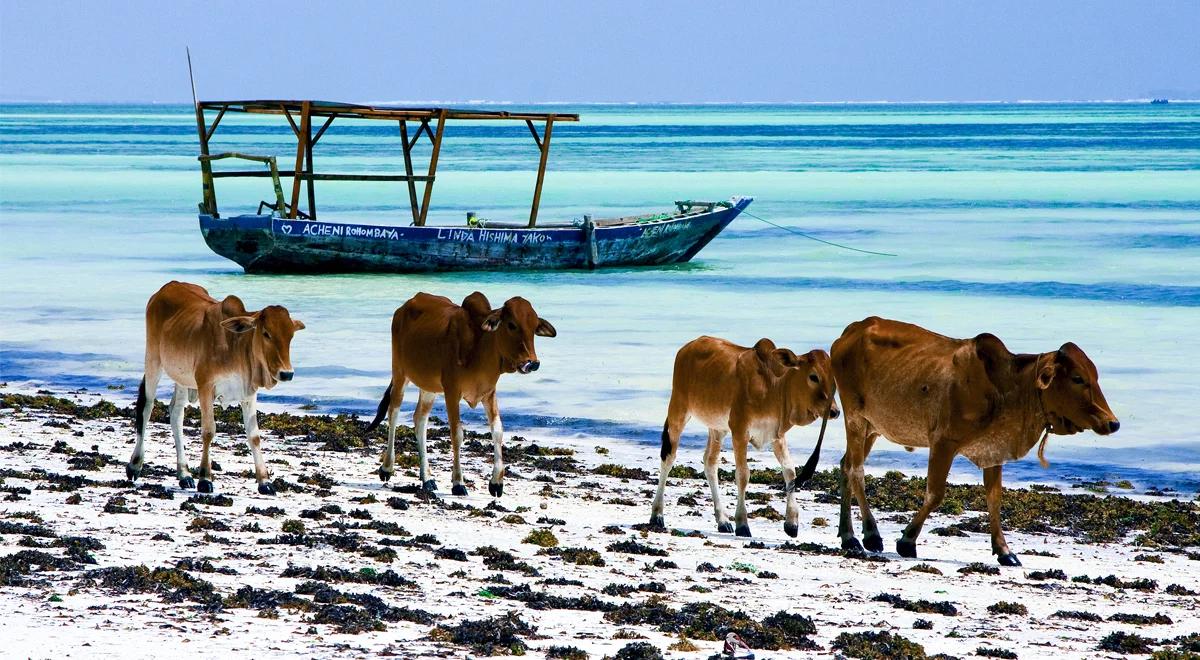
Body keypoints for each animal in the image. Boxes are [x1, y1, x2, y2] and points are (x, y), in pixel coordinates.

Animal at [125, 280, 304, 496]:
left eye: (291, 336)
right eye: (266, 334)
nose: (287, 373)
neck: (236, 345)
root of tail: (167, 287)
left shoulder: (248, 393)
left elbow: (254, 436)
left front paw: (264, 482)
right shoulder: (205, 386)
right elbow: (208, 431)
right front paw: (205, 479)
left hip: (182, 378)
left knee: (176, 413)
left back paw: (184, 474)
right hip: (153, 360)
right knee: (147, 406)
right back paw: (135, 465)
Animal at [364, 292, 556, 499]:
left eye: (534, 327)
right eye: (512, 324)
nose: (532, 363)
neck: (480, 345)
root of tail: (405, 306)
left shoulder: (489, 393)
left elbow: (497, 431)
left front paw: (496, 482)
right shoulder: (452, 391)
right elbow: (457, 434)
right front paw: (458, 483)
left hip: (429, 386)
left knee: (420, 420)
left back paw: (427, 478)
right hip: (400, 372)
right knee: (394, 411)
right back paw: (387, 468)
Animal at [652, 338, 840, 540]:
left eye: (833, 380)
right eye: (813, 376)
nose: (835, 411)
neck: (773, 387)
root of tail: (688, 346)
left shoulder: (777, 435)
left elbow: (789, 471)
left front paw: (791, 523)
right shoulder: (740, 430)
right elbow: (743, 474)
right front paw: (742, 523)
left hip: (717, 428)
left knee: (710, 463)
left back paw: (723, 520)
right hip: (678, 410)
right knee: (669, 458)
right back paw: (657, 515)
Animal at [830, 319, 1118, 566]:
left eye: (1095, 376)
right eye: (1078, 378)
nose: (1112, 423)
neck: (1006, 388)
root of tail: (851, 331)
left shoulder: (994, 449)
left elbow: (994, 498)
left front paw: (1004, 551)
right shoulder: (943, 441)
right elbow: (935, 494)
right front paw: (907, 541)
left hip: (872, 427)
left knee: (845, 466)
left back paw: (848, 537)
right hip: (855, 418)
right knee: (856, 470)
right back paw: (870, 535)